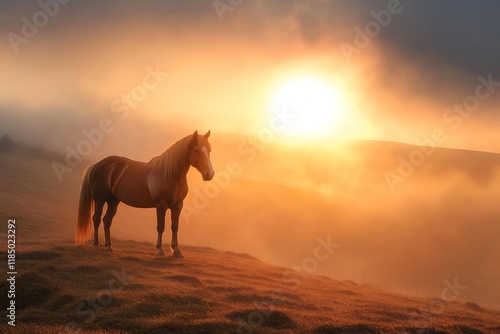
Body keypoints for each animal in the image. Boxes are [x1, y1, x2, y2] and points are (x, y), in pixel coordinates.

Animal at [73, 130, 213, 256]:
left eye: (209, 150)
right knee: (96, 219)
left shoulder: (178, 206)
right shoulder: (161, 205)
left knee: (107, 220)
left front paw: (176, 250)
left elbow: (175, 227)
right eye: (196, 150)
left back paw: (108, 246)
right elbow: (161, 226)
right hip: (100, 199)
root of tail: (96, 165)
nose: (210, 174)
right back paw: (96, 245)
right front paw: (160, 249)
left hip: (113, 200)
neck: (169, 174)